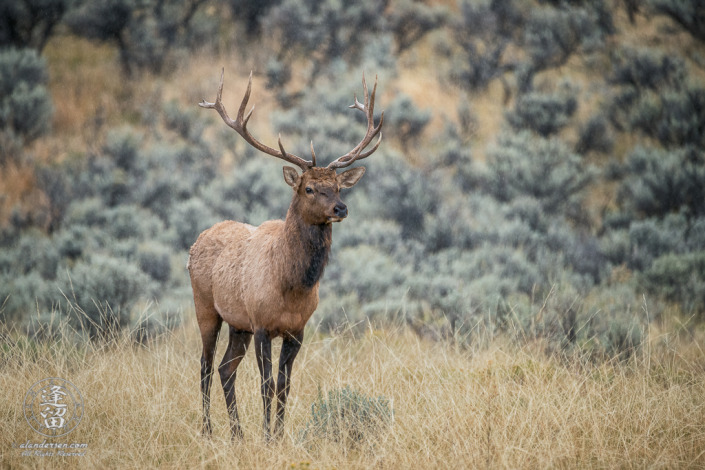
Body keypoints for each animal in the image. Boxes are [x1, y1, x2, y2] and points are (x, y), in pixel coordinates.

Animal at [187, 70, 382, 440]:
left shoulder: (297, 330)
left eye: (338, 186)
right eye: (309, 188)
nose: (341, 208)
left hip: (238, 325)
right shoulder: (262, 324)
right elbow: (266, 385)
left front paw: (276, 434)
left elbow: (284, 385)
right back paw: (207, 431)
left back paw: (237, 433)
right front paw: (267, 437)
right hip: (206, 308)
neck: (291, 285)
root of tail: (197, 241)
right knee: (204, 367)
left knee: (225, 369)